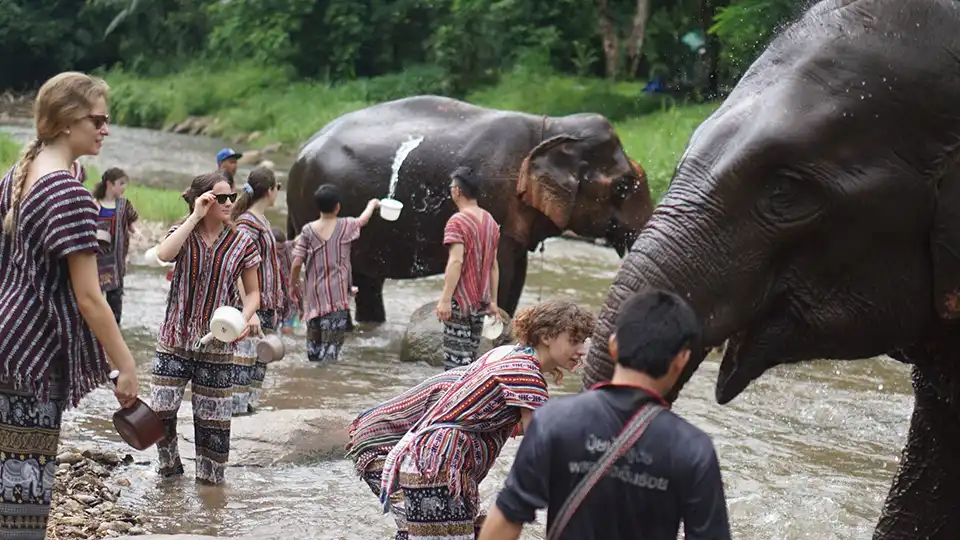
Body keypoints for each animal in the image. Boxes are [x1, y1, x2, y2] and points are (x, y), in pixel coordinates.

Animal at [286, 95, 653, 322]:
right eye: (622, 186)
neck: (551, 128)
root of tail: (300, 153)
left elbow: (517, 275)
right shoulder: (496, 199)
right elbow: (503, 270)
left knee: (368, 282)